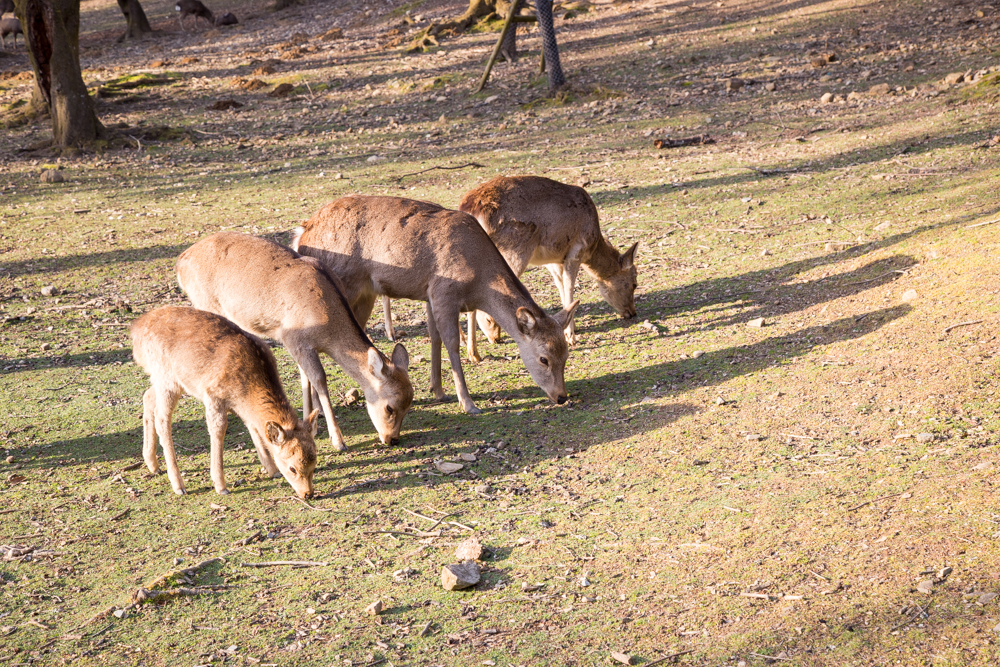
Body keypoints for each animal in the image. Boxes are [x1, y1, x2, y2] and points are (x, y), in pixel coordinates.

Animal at [130, 306, 316, 498]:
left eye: (314, 464)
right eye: (292, 468)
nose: (308, 493)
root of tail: (136, 331)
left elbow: (254, 427)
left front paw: (273, 470)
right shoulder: (213, 395)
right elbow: (218, 431)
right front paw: (220, 486)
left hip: (165, 381)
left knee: (147, 397)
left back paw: (153, 464)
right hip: (167, 379)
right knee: (162, 419)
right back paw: (178, 485)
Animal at [177, 232, 414, 452]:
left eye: (409, 404)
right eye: (390, 408)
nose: (392, 439)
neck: (326, 323)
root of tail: (181, 261)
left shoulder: (301, 347)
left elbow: (305, 378)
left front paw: (312, 424)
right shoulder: (293, 339)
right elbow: (319, 379)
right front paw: (338, 440)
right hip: (206, 304)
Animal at [292, 194, 580, 412]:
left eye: (566, 354)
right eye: (543, 359)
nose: (561, 396)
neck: (478, 282)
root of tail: (301, 234)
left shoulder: (429, 294)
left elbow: (434, 337)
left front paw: (438, 390)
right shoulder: (444, 291)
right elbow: (452, 342)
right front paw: (468, 403)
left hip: (363, 296)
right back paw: (318, 413)